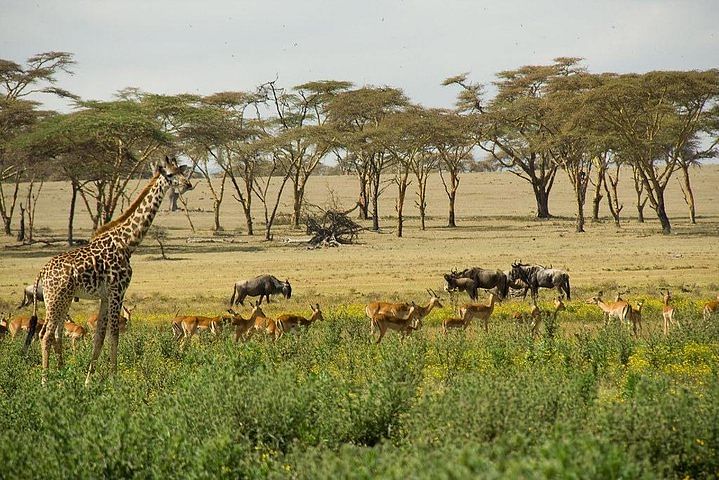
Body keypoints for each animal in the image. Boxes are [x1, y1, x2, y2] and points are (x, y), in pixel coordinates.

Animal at [25, 156, 194, 384]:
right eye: (169, 174)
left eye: (181, 171)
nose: (188, 184)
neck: (127, 243)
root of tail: (41, 273)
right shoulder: (117, 291)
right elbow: (114, 333)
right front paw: (114, 379)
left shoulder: (105, 296)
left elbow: (99, 336)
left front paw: (89, 380)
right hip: (55, 298)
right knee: (46, 334)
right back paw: (45, 382)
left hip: (61, 299)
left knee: (55, 334)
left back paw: (60, 378)